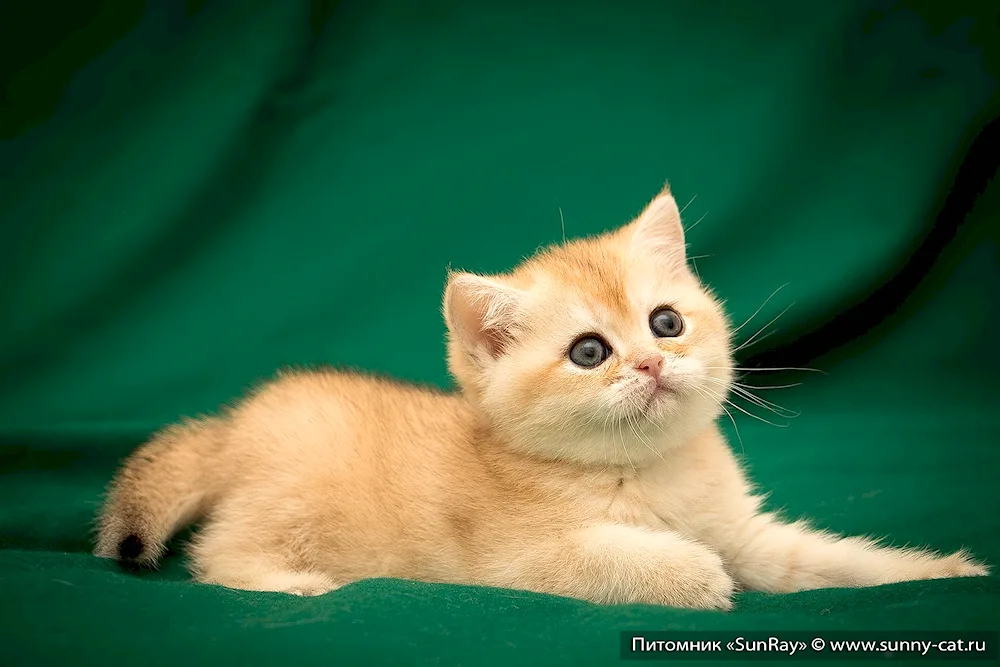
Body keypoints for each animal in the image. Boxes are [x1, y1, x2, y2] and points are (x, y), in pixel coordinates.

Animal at [94, 185, 984, 608]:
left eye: (666, 322)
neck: (653, 472)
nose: (650, 364)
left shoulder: (753, 535)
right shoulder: (517, 560)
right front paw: (691, 573)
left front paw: (943, 571)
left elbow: (833, 560)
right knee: (217, 556)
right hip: (287, 505)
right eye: (590, 352)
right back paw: (294, 585)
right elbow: (616, 557)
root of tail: (232, 423)